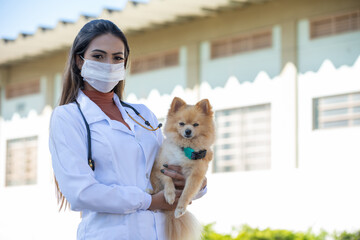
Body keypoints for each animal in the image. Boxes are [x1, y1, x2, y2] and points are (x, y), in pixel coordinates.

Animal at [148, 96, 214, 239]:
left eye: (195, 125)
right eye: (181, 124)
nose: (188, 131)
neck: (185, 148)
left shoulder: (195, 175)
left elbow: (187, 192)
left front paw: (180, 208)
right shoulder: (160, 166)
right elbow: (167, 178)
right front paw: (170, 195)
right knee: (156, 188)